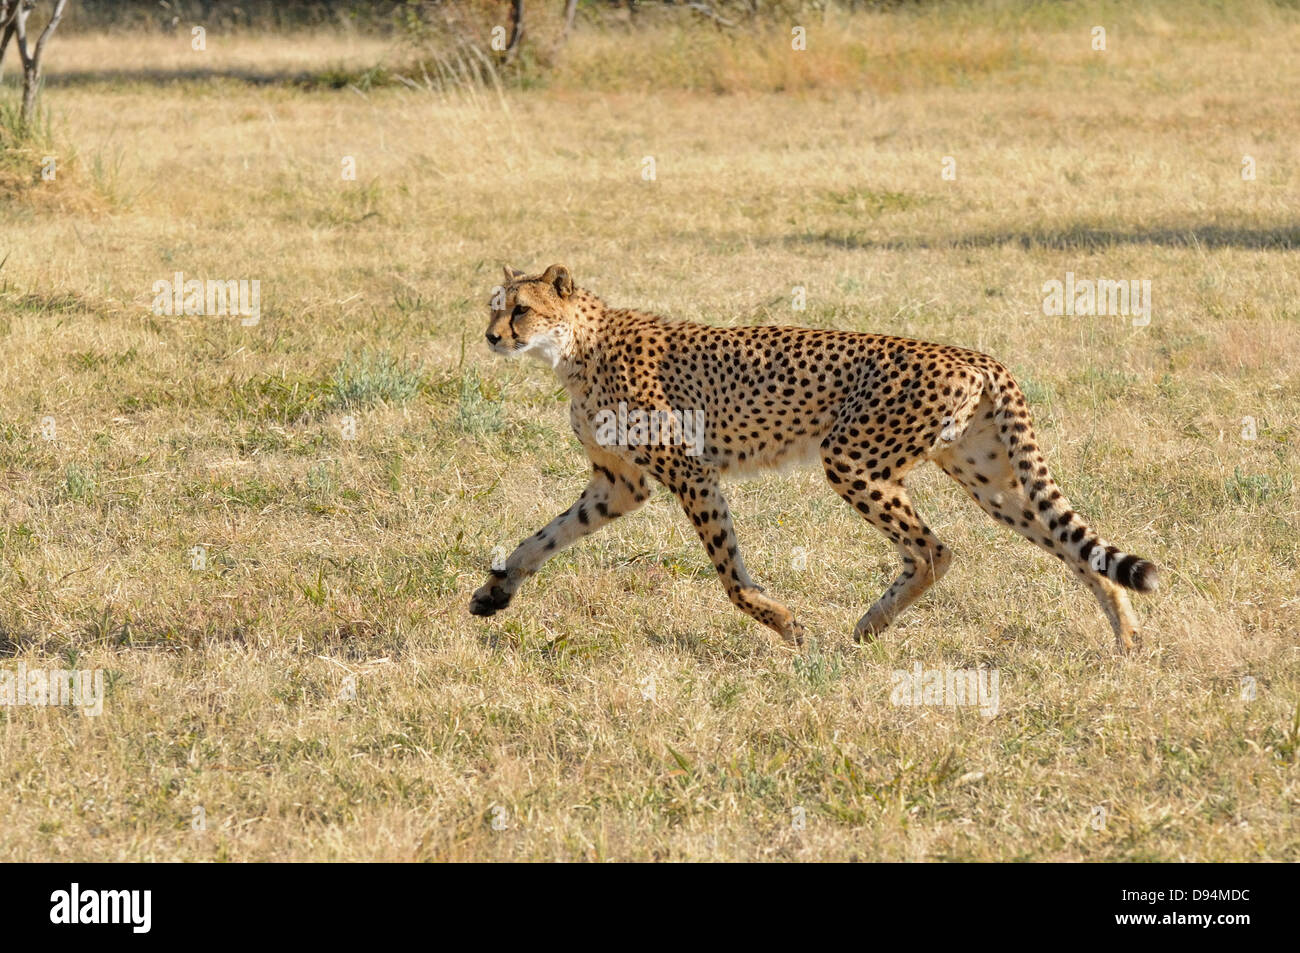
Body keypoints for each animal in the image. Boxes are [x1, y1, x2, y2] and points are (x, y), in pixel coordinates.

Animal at [467, 263, 1159, 650]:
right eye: (493, 308)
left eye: (521, 309)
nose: (491, 337)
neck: (575, 346)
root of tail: (976, 354)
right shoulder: (618, 484)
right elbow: (542, 538)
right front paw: (495, 593)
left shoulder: (690, 473)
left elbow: (730, 576)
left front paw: (784, 624)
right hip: (988, 478)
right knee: (1073, 545)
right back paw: (1126, 637)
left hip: (852, 458)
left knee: (935, 549)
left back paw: (870, 625)